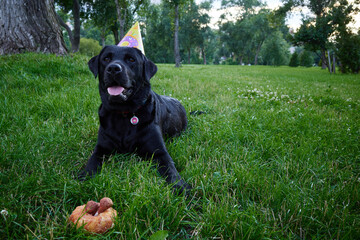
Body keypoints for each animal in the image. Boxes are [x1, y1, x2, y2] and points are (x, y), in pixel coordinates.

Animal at [79, 45, 191, 193]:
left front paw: (180, 186)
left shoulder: (159, 152)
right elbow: (92, 161)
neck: (123, 113)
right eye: (106, 58)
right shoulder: (101, 148)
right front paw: (85, 176)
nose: (113, 68)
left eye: (131, 59)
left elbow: (170, 168)